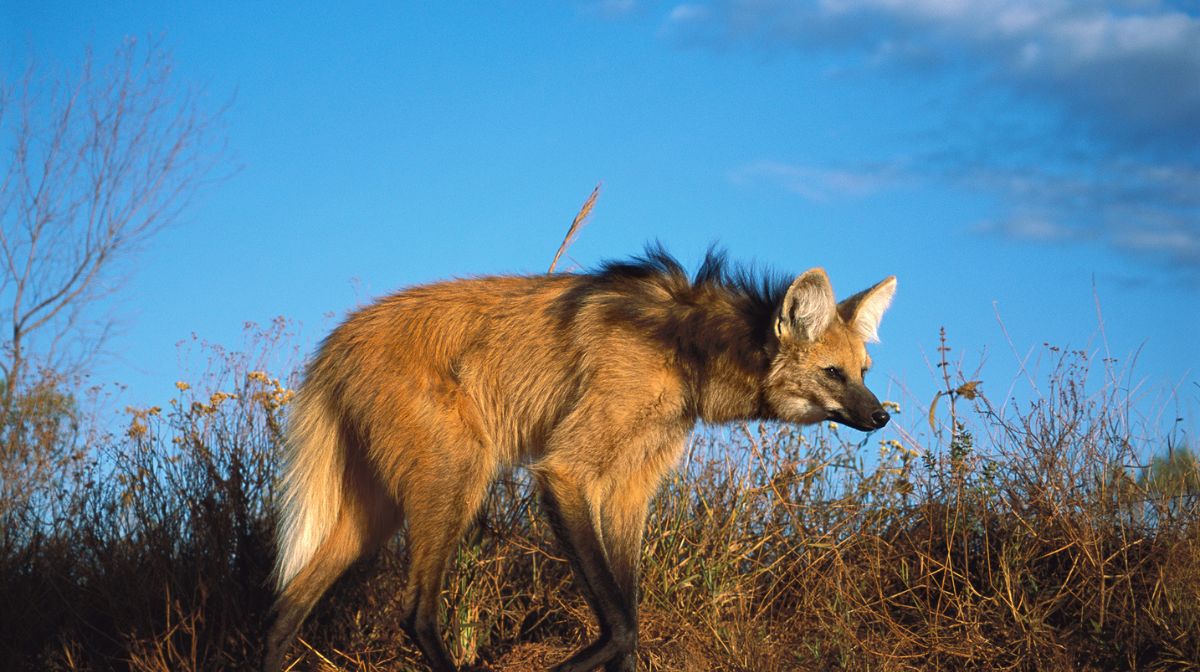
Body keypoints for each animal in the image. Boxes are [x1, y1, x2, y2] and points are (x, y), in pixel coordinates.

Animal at [267, 248, 897, 672]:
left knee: (285, 609)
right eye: (832, 373)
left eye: (864, 371)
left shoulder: (626, 491)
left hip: (376, 512)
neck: (687, 348)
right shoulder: (567, 472)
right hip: (457, 480)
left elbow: (630, 618)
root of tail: (338, 341)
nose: (881, 416)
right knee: (415, 612)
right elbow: (620, 626)